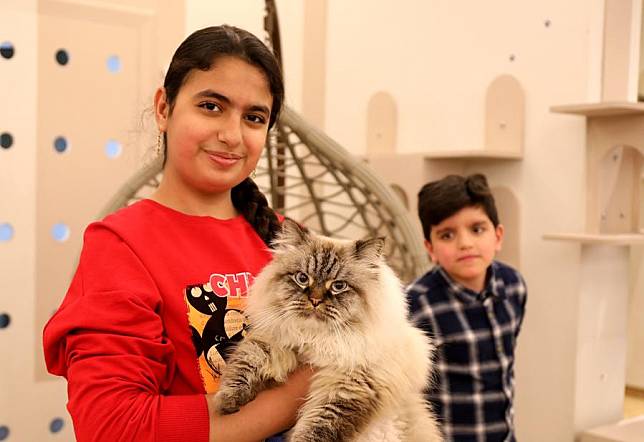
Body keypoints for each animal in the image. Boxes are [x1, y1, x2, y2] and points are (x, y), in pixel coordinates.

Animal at [214, 219, 440, 440]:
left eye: (338, 286)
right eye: (302, 278)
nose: (315, 300)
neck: (315, 338)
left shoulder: (351, 384)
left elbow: (318, 427)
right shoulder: (273, 341)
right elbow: (245, 364)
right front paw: (227, 402)